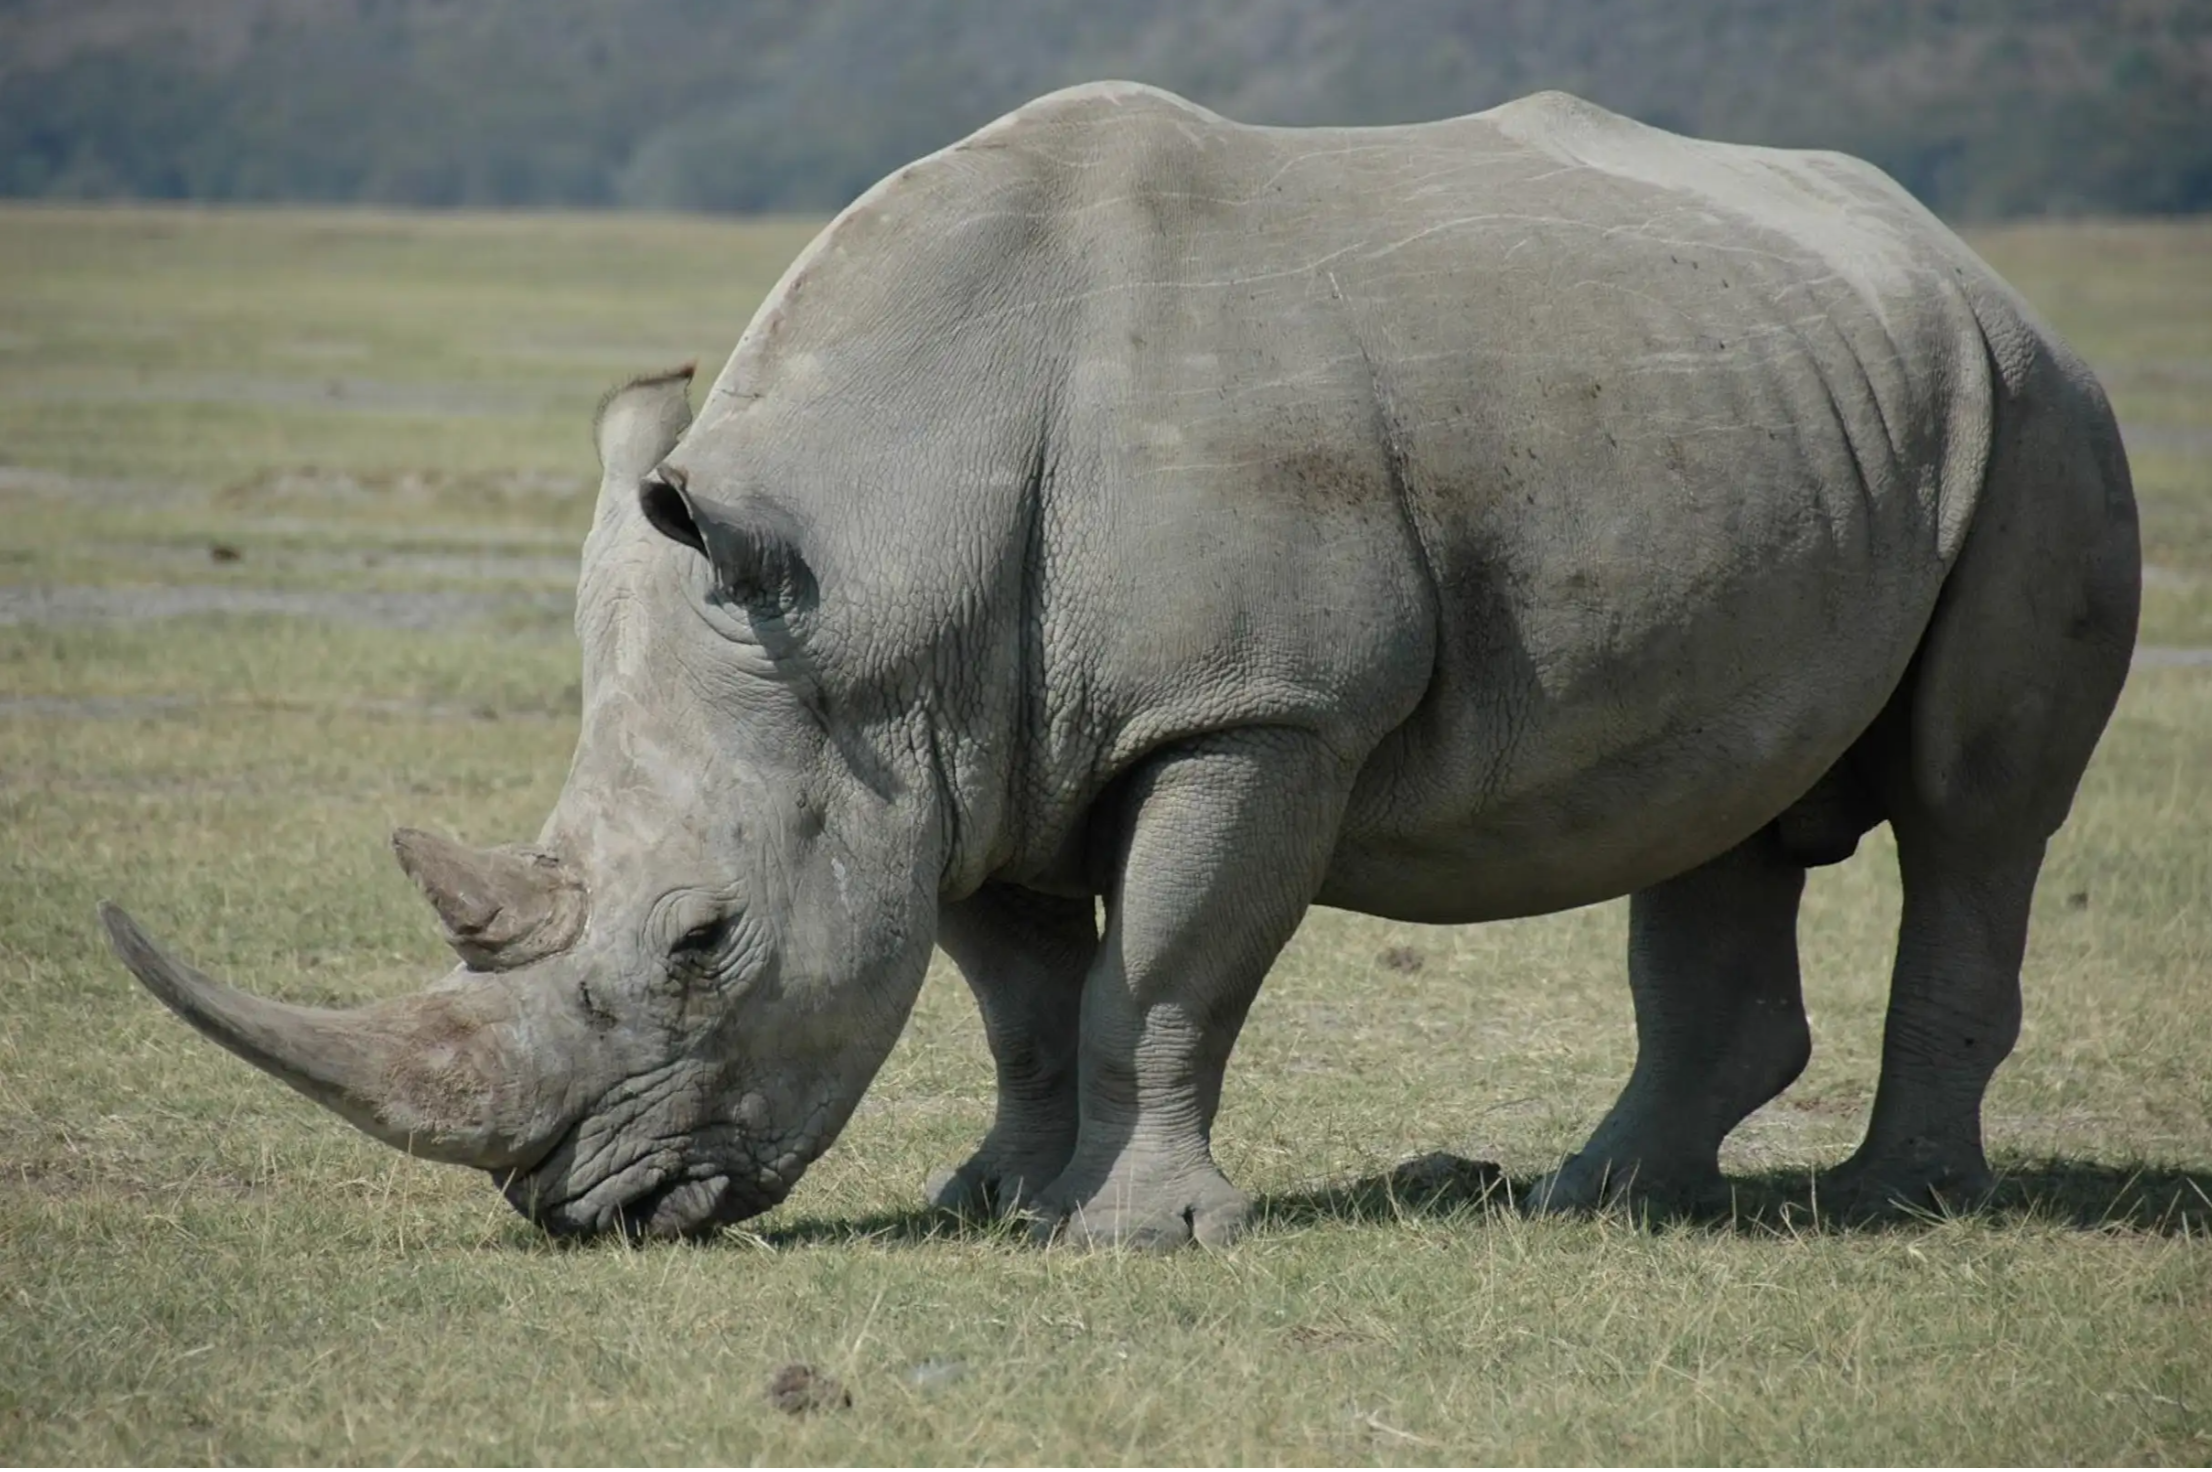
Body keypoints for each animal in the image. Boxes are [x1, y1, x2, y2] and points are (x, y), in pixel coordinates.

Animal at [102, 83, 2138, 1246]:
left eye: (700, 944)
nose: (577, 1210)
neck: (875, 546)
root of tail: (1958, 256)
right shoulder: (947, 740)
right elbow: (1016, 992)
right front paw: (993, 1201)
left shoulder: (1251, 713)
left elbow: (1158, 974)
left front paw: (1135, 1234)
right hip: (1774, 394)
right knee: (1717, 803)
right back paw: (1604, 1201)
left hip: (2043, 412)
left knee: (1976, 812)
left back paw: (1899, 1204)